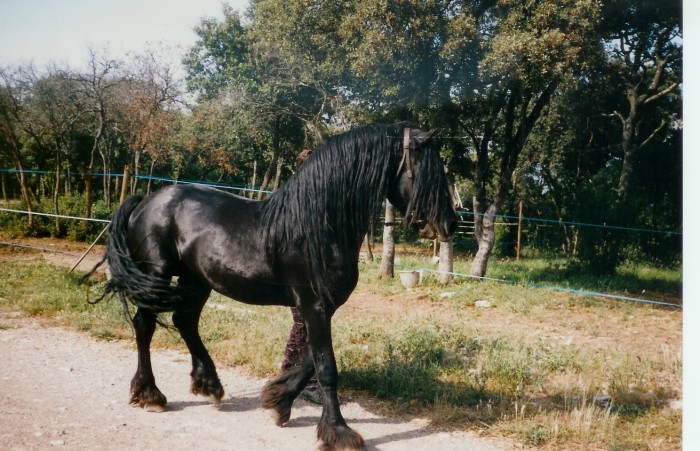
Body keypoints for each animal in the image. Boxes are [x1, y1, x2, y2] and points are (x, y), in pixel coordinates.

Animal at [85, 122, 456, 450]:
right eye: (429, 171)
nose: (450, 224)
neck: (318, 224)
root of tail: (146, 200)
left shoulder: (323, 306)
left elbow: (310, 360)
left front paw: (279, 401)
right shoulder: (313, 304)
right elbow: (326, 366)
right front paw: (338, 432)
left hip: (197, 279)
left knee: (184, 321)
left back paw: (209, 385)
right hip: (157, 275)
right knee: (145, 326)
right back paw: (151, 394)